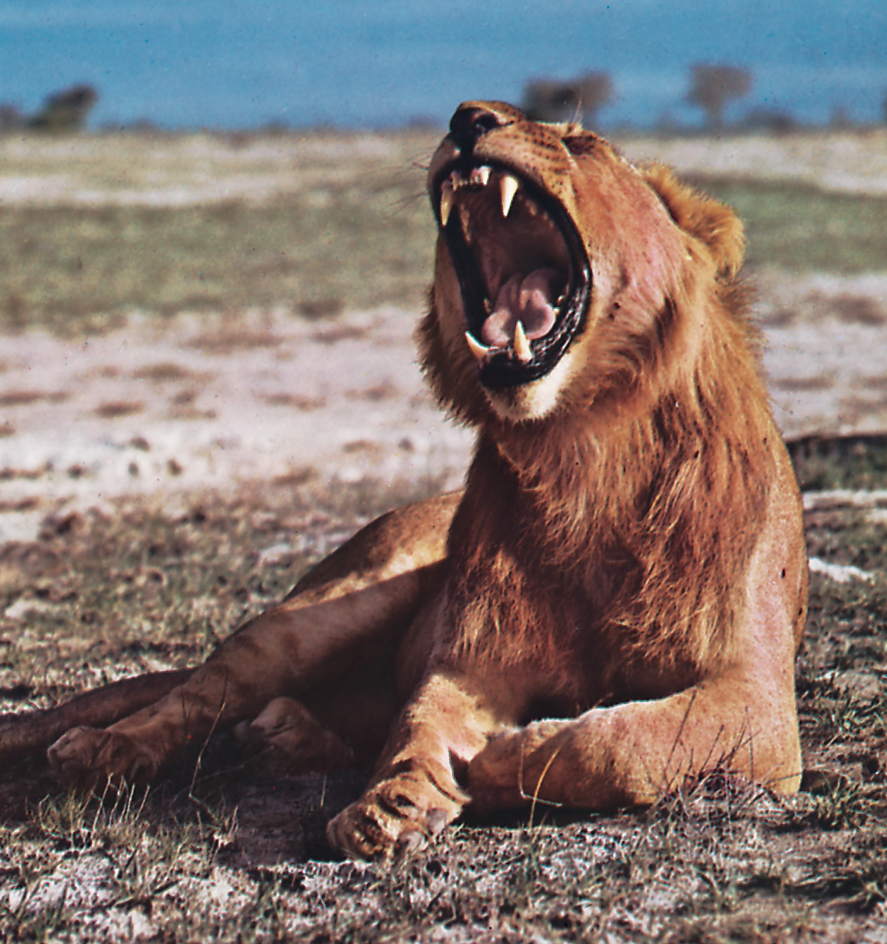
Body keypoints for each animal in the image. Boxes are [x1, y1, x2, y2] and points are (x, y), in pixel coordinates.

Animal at [0, 103, 808, 864]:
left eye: (582, 144)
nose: (468, 118)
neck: (582, 456)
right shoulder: (472, 654)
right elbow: (422, 720)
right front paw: (390, 802)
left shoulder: (757, 700)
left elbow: (621, 743)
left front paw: (499, 762)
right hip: (328, 605)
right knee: (200, 690)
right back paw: (107, 748)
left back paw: (281, 736)